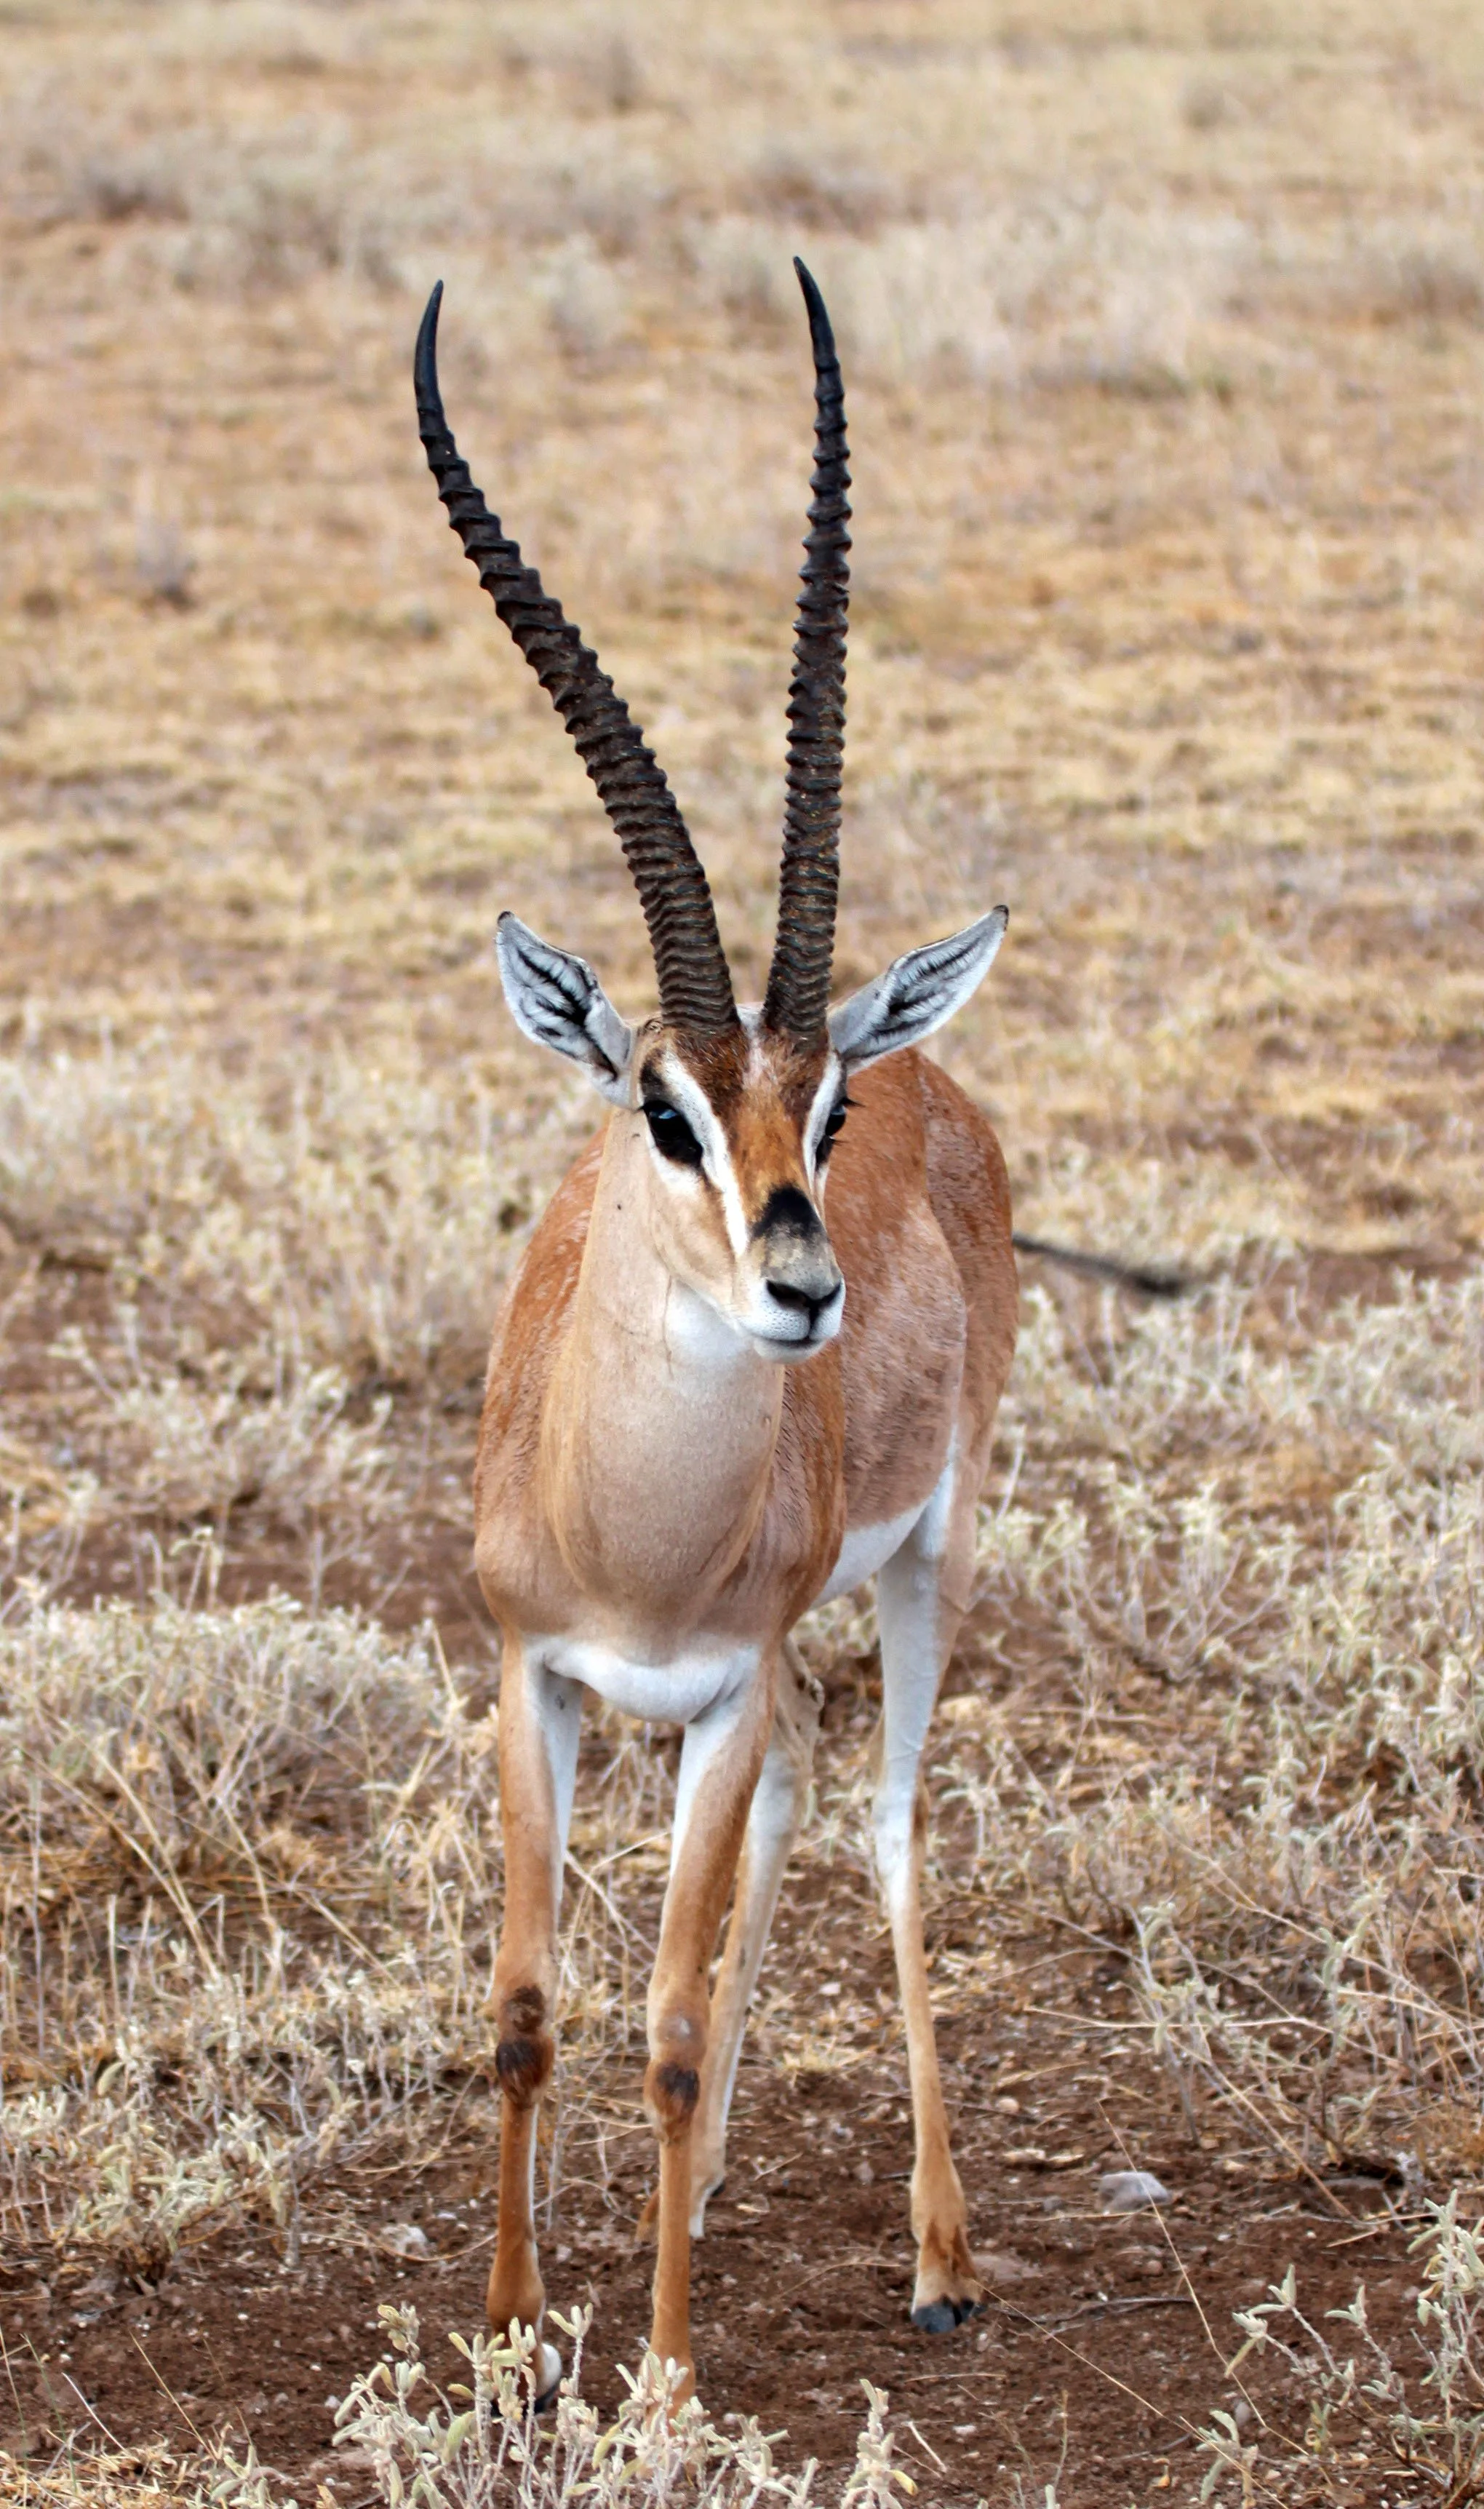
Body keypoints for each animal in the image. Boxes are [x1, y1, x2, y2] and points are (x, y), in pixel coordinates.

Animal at [414, 262, 1017, 2406]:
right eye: (663, 1107)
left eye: (821, 1108)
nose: (802, 1289)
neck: (634, 1533)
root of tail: (958, 1083)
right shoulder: (538, 1679)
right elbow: (526, 2001)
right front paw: (510, 2337)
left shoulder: (718, 1690)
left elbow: (663, 2027)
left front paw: (666, 2388)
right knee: (793, 1837)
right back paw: (745, 2178)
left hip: (926, 1562)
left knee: (893, 1830)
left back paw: (938, 2252)